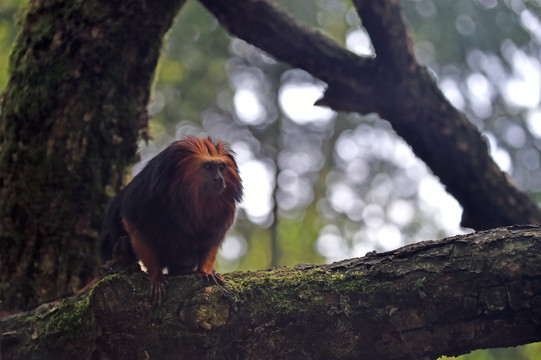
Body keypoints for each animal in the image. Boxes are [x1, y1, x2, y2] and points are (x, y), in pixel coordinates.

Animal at [100, 136, 244, 306]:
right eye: (208, 167)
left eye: (221, 167)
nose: (219, 179)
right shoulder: (146, 196)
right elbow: (134, 226)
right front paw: (156, 276)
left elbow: (211, 240)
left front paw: (205, 271)